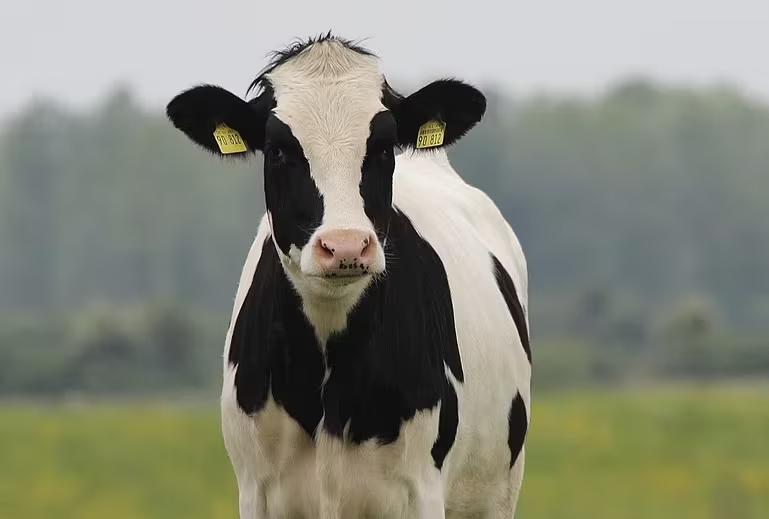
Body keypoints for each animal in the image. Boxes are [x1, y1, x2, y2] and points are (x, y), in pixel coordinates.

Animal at [167, 33, 528, 519]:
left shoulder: (422, 489)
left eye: (383, 147)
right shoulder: (255, 491)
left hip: (496, 494)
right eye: (278, 150)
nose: (345, 246)